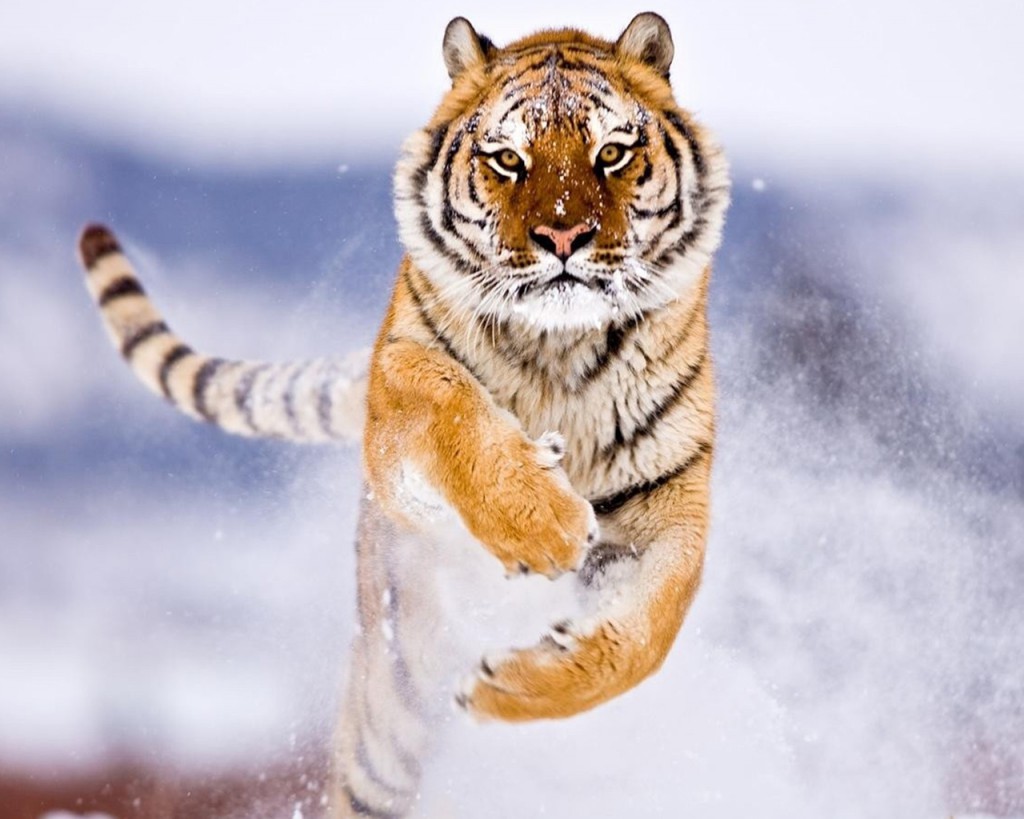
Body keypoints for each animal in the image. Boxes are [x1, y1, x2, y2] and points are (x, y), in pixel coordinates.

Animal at [76, 11, 729, 818]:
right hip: (389, 711)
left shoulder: (670, 501)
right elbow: (448, 400)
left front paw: (511, 686)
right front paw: (543, 523)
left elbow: (647, 634)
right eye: (508, 159)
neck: (559, 347)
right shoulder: (397, 404)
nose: (562, 237)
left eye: (612, 152)